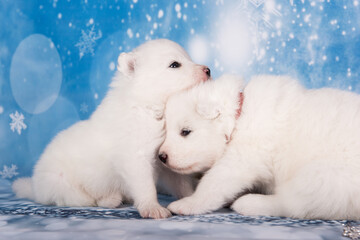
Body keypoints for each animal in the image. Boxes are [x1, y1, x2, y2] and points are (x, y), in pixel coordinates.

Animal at [159, 74, 360, 219]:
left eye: (185, 132)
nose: (161, 156)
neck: (238, 120)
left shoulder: (240, 159)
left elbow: (213, 183)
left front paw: (189, 203)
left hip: (323, 176)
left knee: (294, 204)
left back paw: (249, 203)